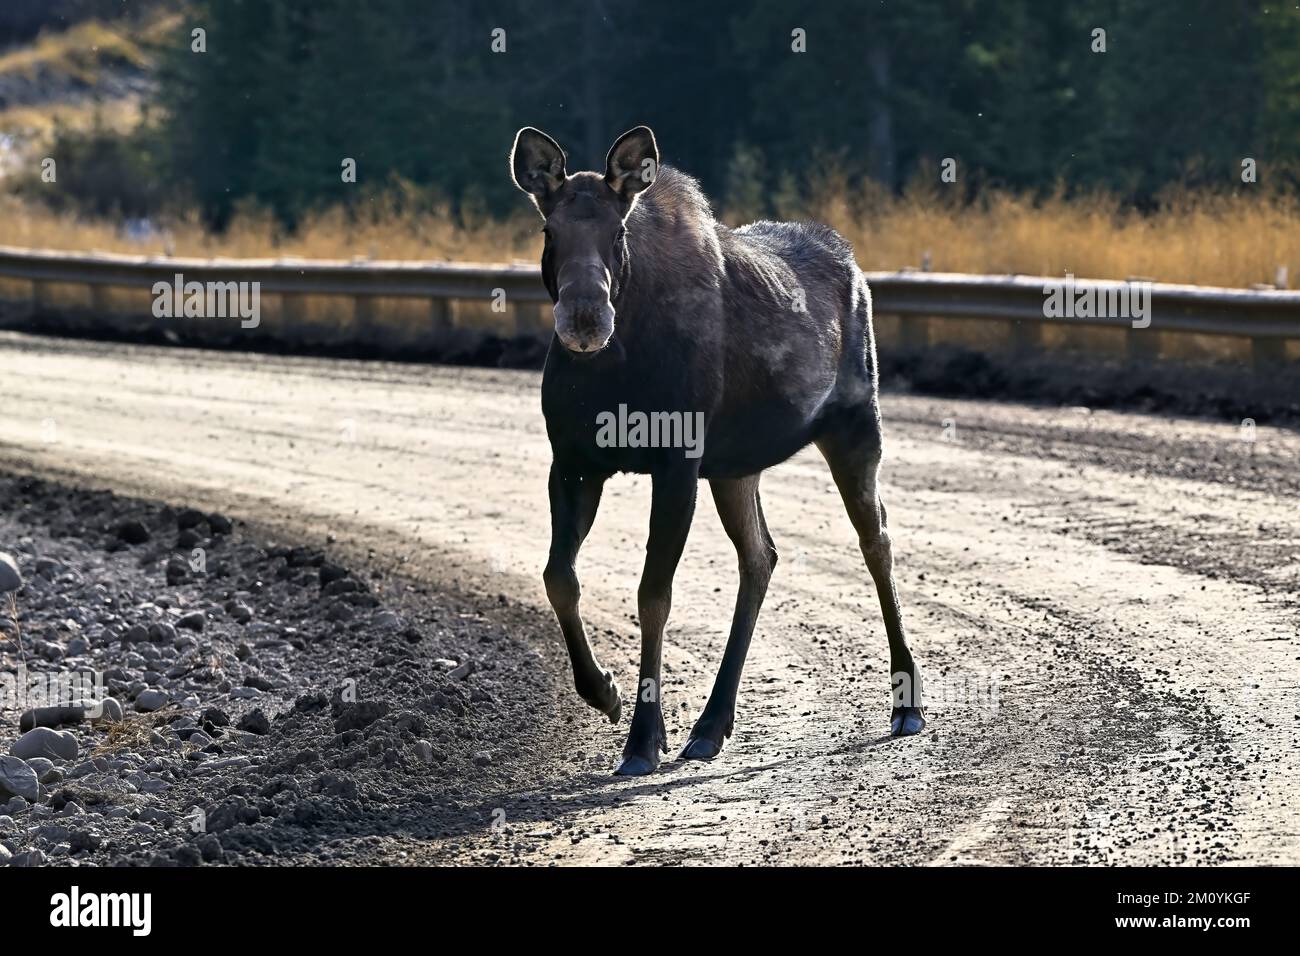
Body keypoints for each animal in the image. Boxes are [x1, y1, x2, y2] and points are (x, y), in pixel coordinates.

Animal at [506, 125, 925, 780]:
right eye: (549, 230)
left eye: (618, 231)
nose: (584, 319)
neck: (614, 367)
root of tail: (855, 263)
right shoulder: (572, 462)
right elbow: (558, 577)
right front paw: (604, 692)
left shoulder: (677, 462)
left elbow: (653, 594)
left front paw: (642, 738)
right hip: (735, 469)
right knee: (762, 556)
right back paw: (710, 725)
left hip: (856, 427)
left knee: (875, 540)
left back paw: (907, 703)